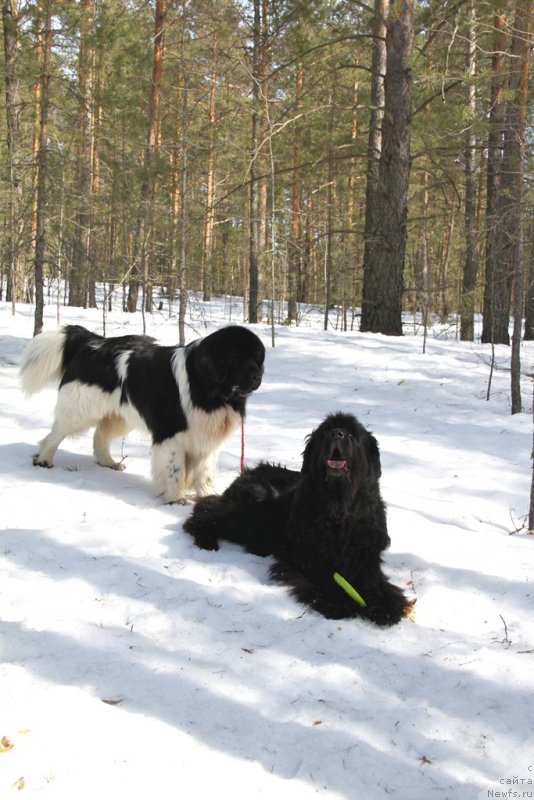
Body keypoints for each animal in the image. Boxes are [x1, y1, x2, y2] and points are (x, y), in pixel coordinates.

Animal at [20, 324, 266, 500]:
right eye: (237, 357)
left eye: (257, 358)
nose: (258, 376)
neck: (208, 390)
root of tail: (94, 341)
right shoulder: (171, 435)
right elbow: (175, 469)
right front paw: (176, 499)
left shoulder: (206, 438)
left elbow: (204, 473)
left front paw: (207, 497)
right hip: (80, 410)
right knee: (55, 433)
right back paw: (43, 459)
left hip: (119, 416)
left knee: (100, 436)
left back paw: (108, 462)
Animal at [184, 412, 414, 624]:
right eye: (325, 431)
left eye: (351, 434)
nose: (336, 433)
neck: (338, 508)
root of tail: (247, 472)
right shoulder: (310, 555)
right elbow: (326, 577)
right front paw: (338, 602)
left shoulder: (365, 555)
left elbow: (372, 581)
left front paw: (384, 606)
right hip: (251, 507)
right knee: (204, 510)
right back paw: (206, 539)